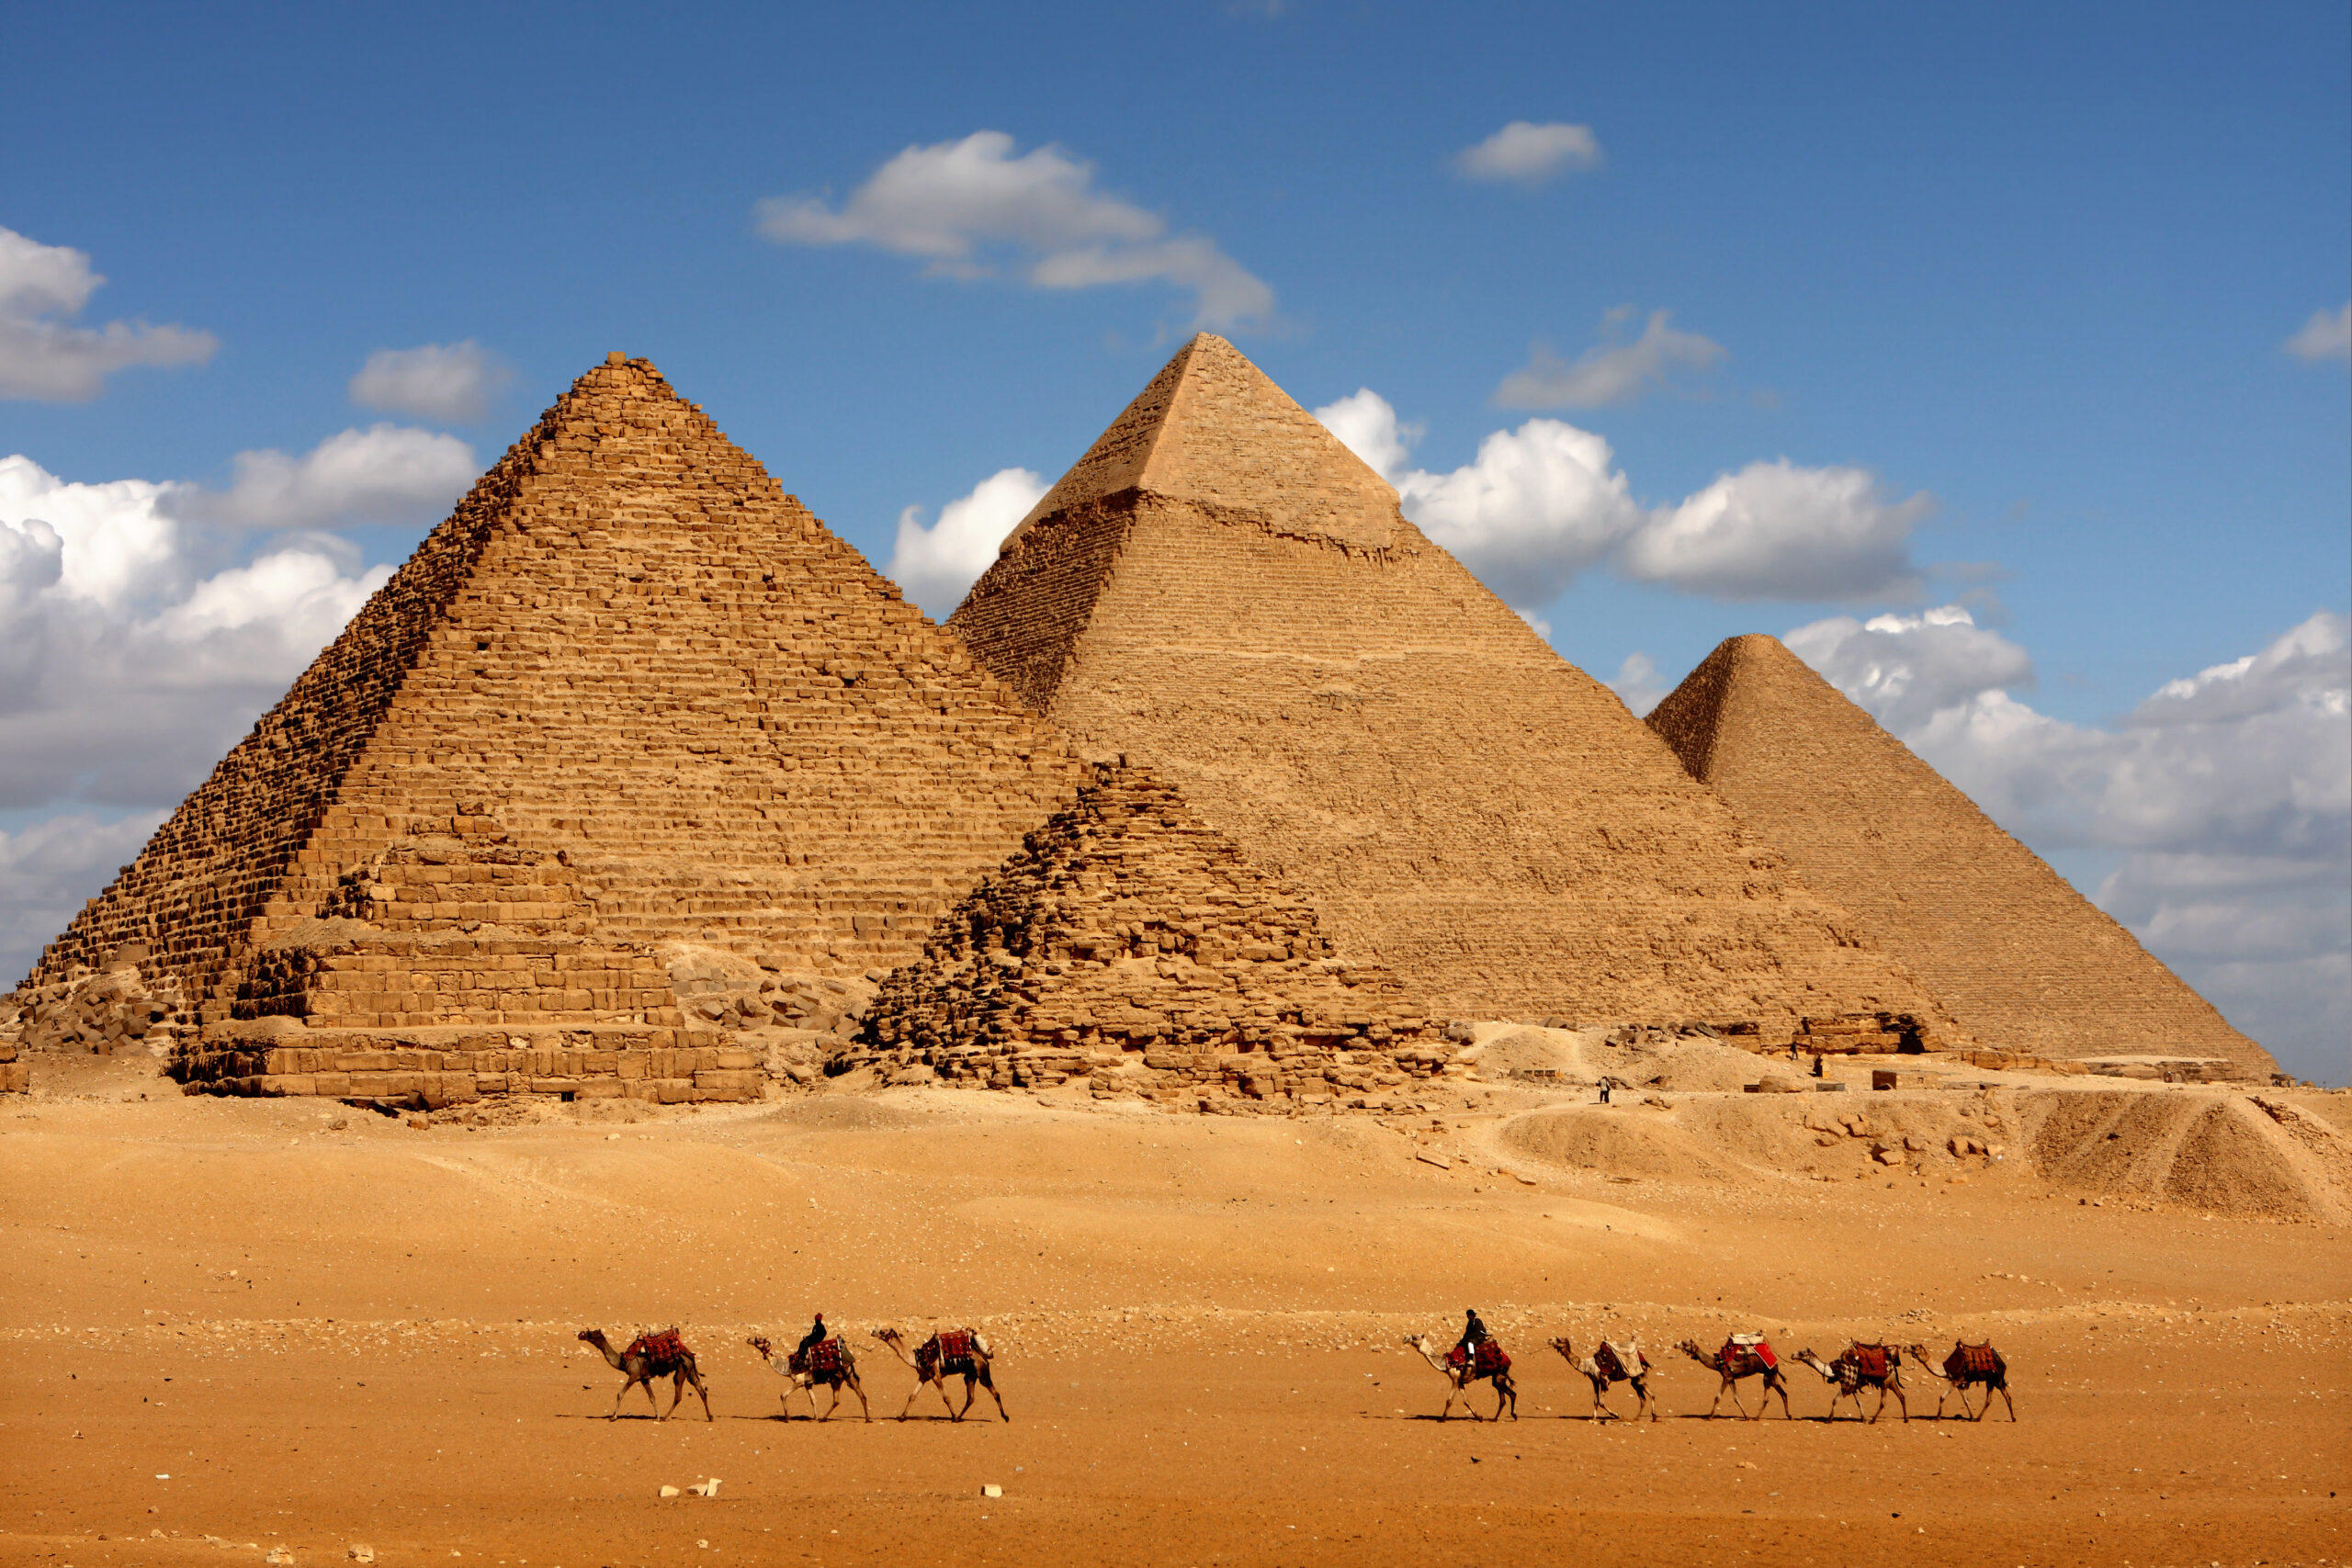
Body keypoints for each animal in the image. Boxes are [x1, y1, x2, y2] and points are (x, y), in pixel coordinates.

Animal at [576, 1325, 706, 1419]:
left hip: (681, 1371)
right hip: (690, 1371)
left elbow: (620, 1394)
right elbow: (652, 1397)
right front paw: (657, 1417)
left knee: (678, 1395)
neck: (624, 1361)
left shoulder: (633, 1376)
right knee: (701, 1391)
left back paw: (666, 1417)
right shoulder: (643, 1379)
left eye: (591, 1334)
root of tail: (691, 1355)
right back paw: (709, 1417)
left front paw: (613, 1417)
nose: (580, 1334)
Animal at [742, 1335, 875, 1419]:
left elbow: (783, 1395)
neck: (788, 1367)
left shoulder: (799, 1381)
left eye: (758, 1339)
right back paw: (867, 1419)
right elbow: (813, 1400)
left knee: (838, 1400)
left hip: (837, 1378)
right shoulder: (808, 1384)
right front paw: (814, 1417)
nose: (748, 1339)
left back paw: (824, 1418)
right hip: (847, 1375)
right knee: (860, 1395)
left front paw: (787, 1417)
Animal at [870, 1325, 1006, 1419]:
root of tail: (983, 1357)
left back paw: (1005, 1417)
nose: (872, 1331)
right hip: (970, 1375)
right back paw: (960, 1417)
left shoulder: (935, 1374)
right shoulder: (924, 1376)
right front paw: (902, 1417)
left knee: (995, 1393)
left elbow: (946, 1397)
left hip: (981, 1372)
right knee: (971, 1398)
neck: (918, 1358)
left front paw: (953, 1416)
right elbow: (912, 1396)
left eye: (882, 1331)